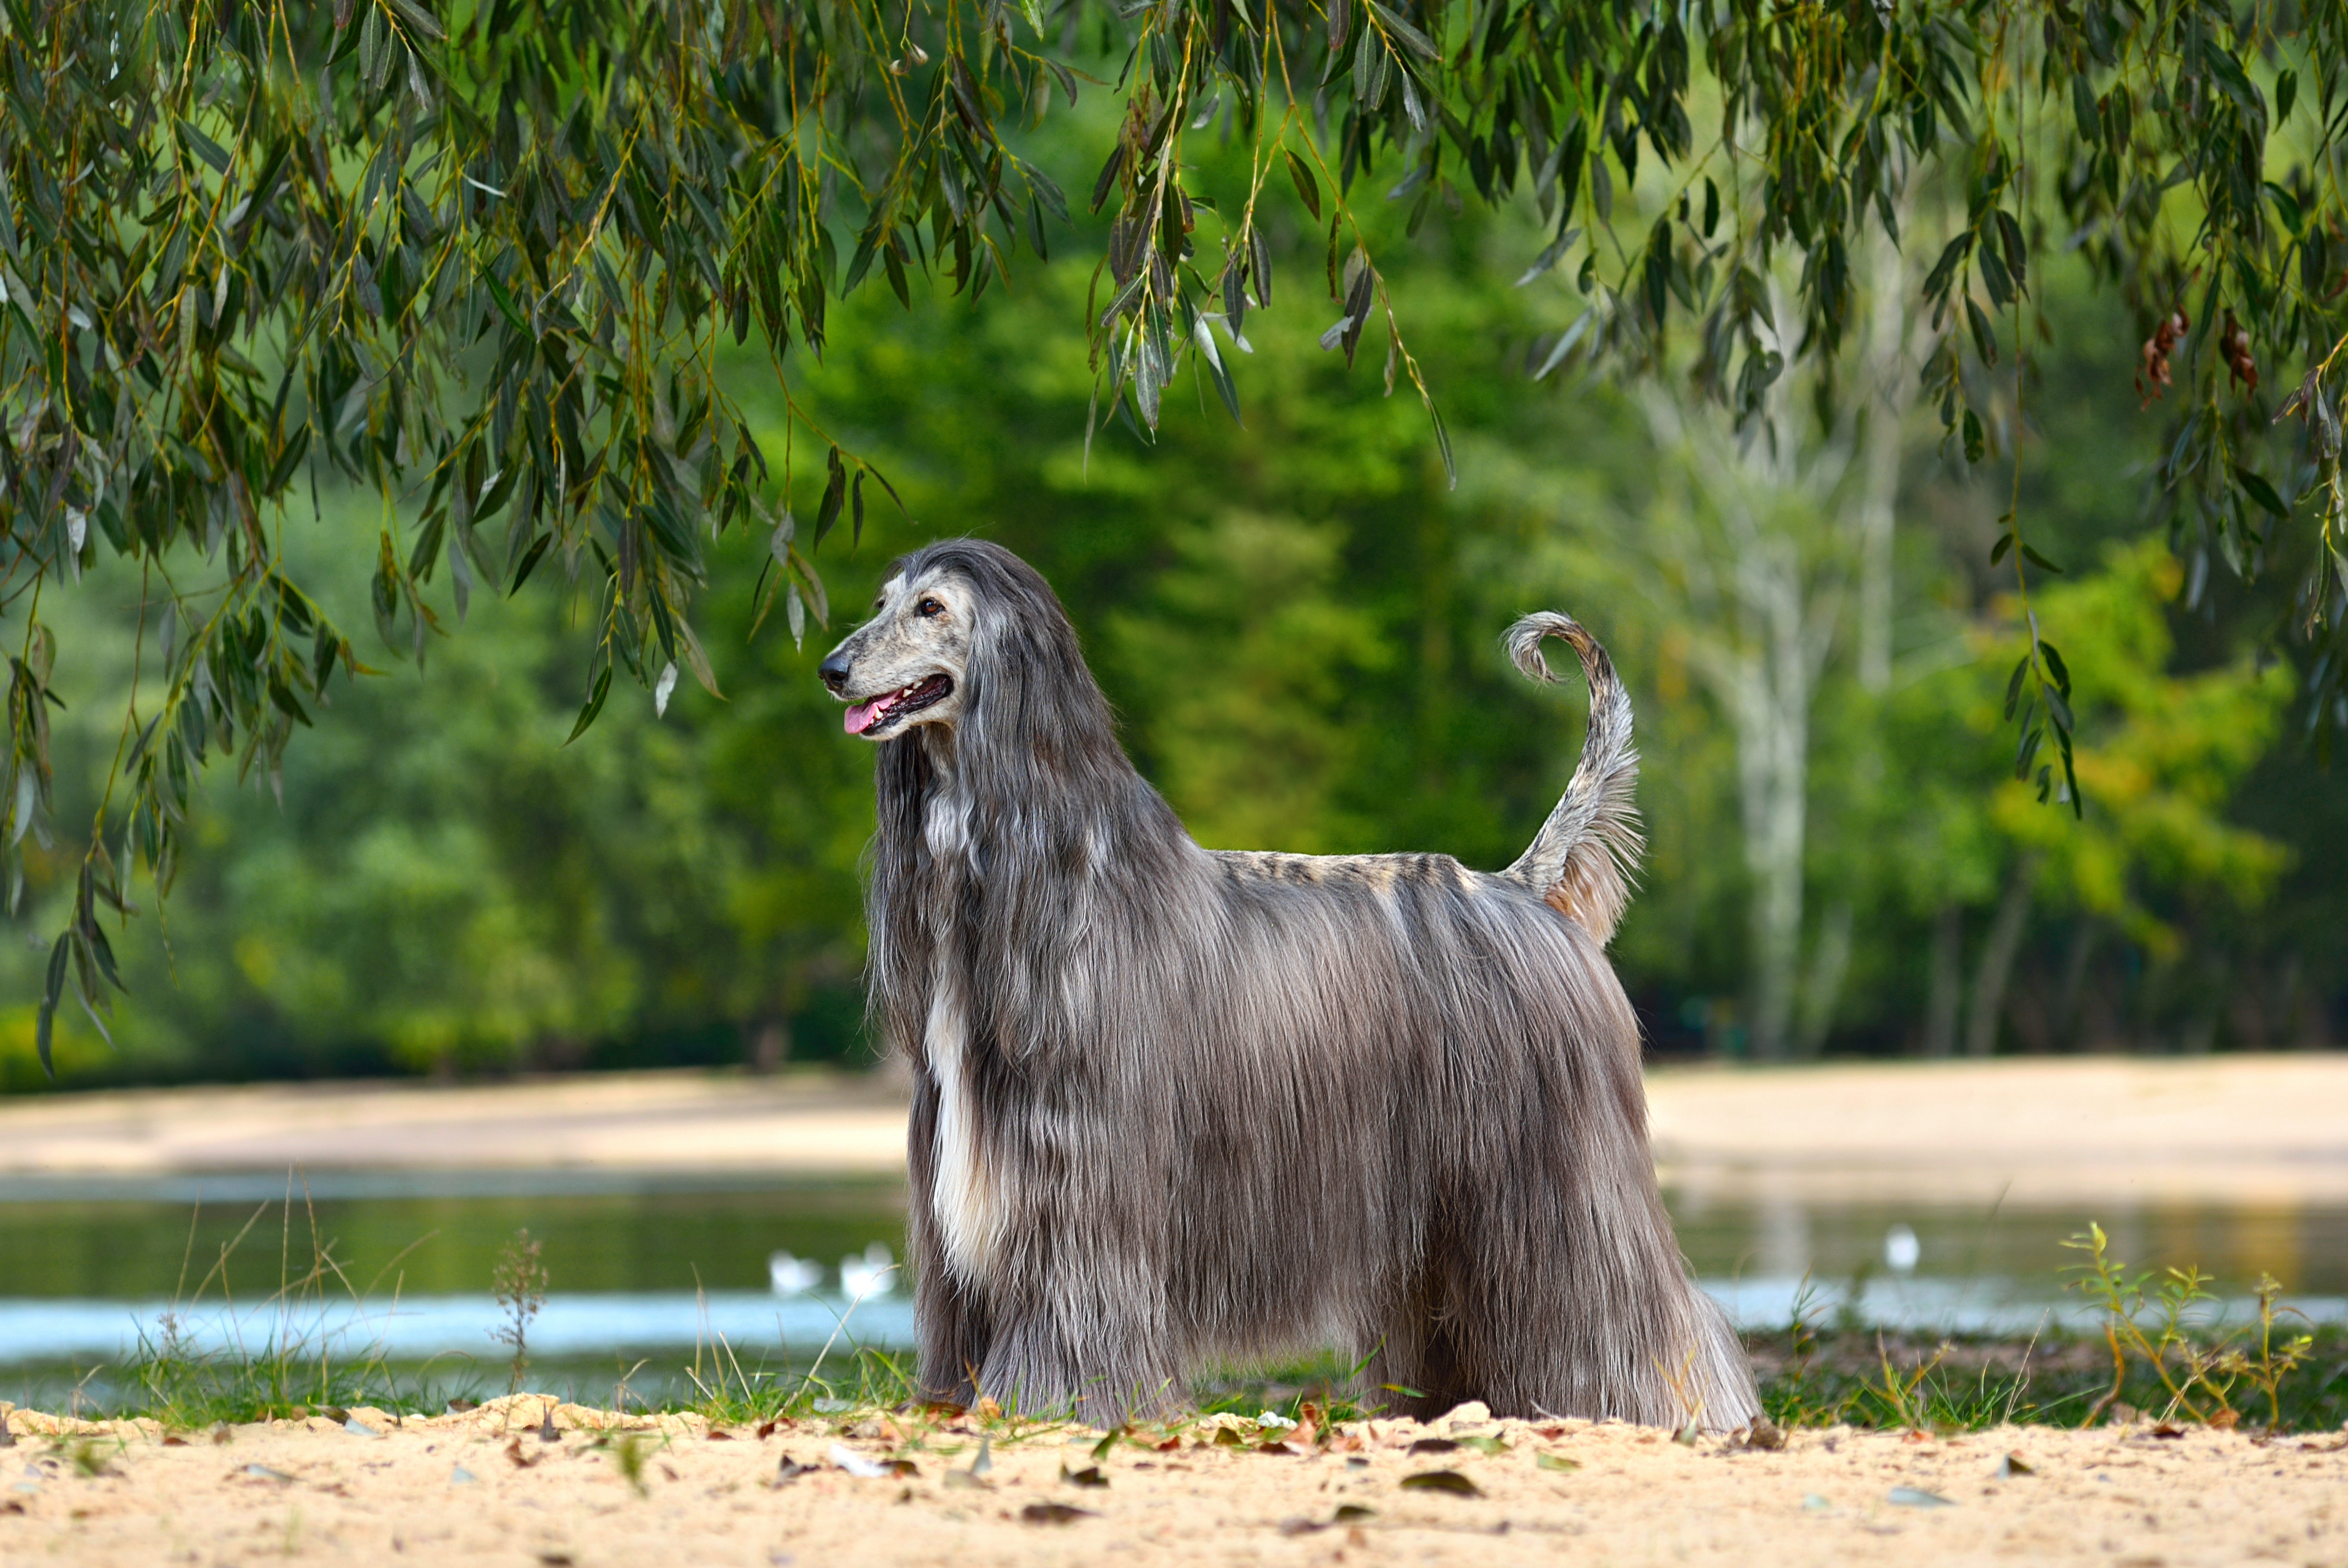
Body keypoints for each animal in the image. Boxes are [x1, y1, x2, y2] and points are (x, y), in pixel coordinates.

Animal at [826, 540, 1766, 1436]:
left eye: (930, 607)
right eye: (879, 600)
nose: (832, 667)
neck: (1045, 866)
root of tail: (1521, 886)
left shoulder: (1079, 1178)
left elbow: (1072, 1312)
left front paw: (1052, 1405)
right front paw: (957, 1404)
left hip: (1558, 1171)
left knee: (1639, 1303)